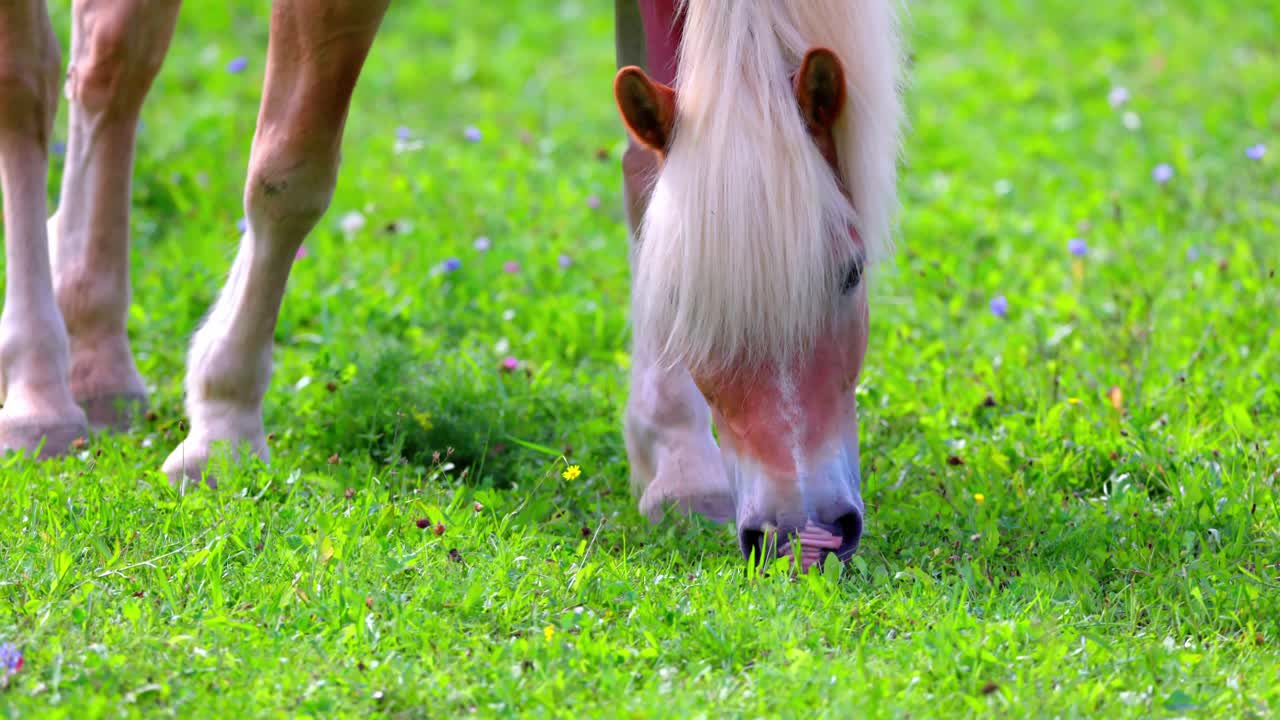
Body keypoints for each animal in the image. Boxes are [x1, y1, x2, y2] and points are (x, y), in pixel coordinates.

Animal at [0, 0, 901, 571]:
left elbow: (647, 174)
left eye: (852, 273)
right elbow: (289, 172)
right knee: (39, 82)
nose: (807, 534)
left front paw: (679, 461)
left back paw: (98, 357)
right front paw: (221, 427)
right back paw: (41, 394)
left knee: (111, 62)